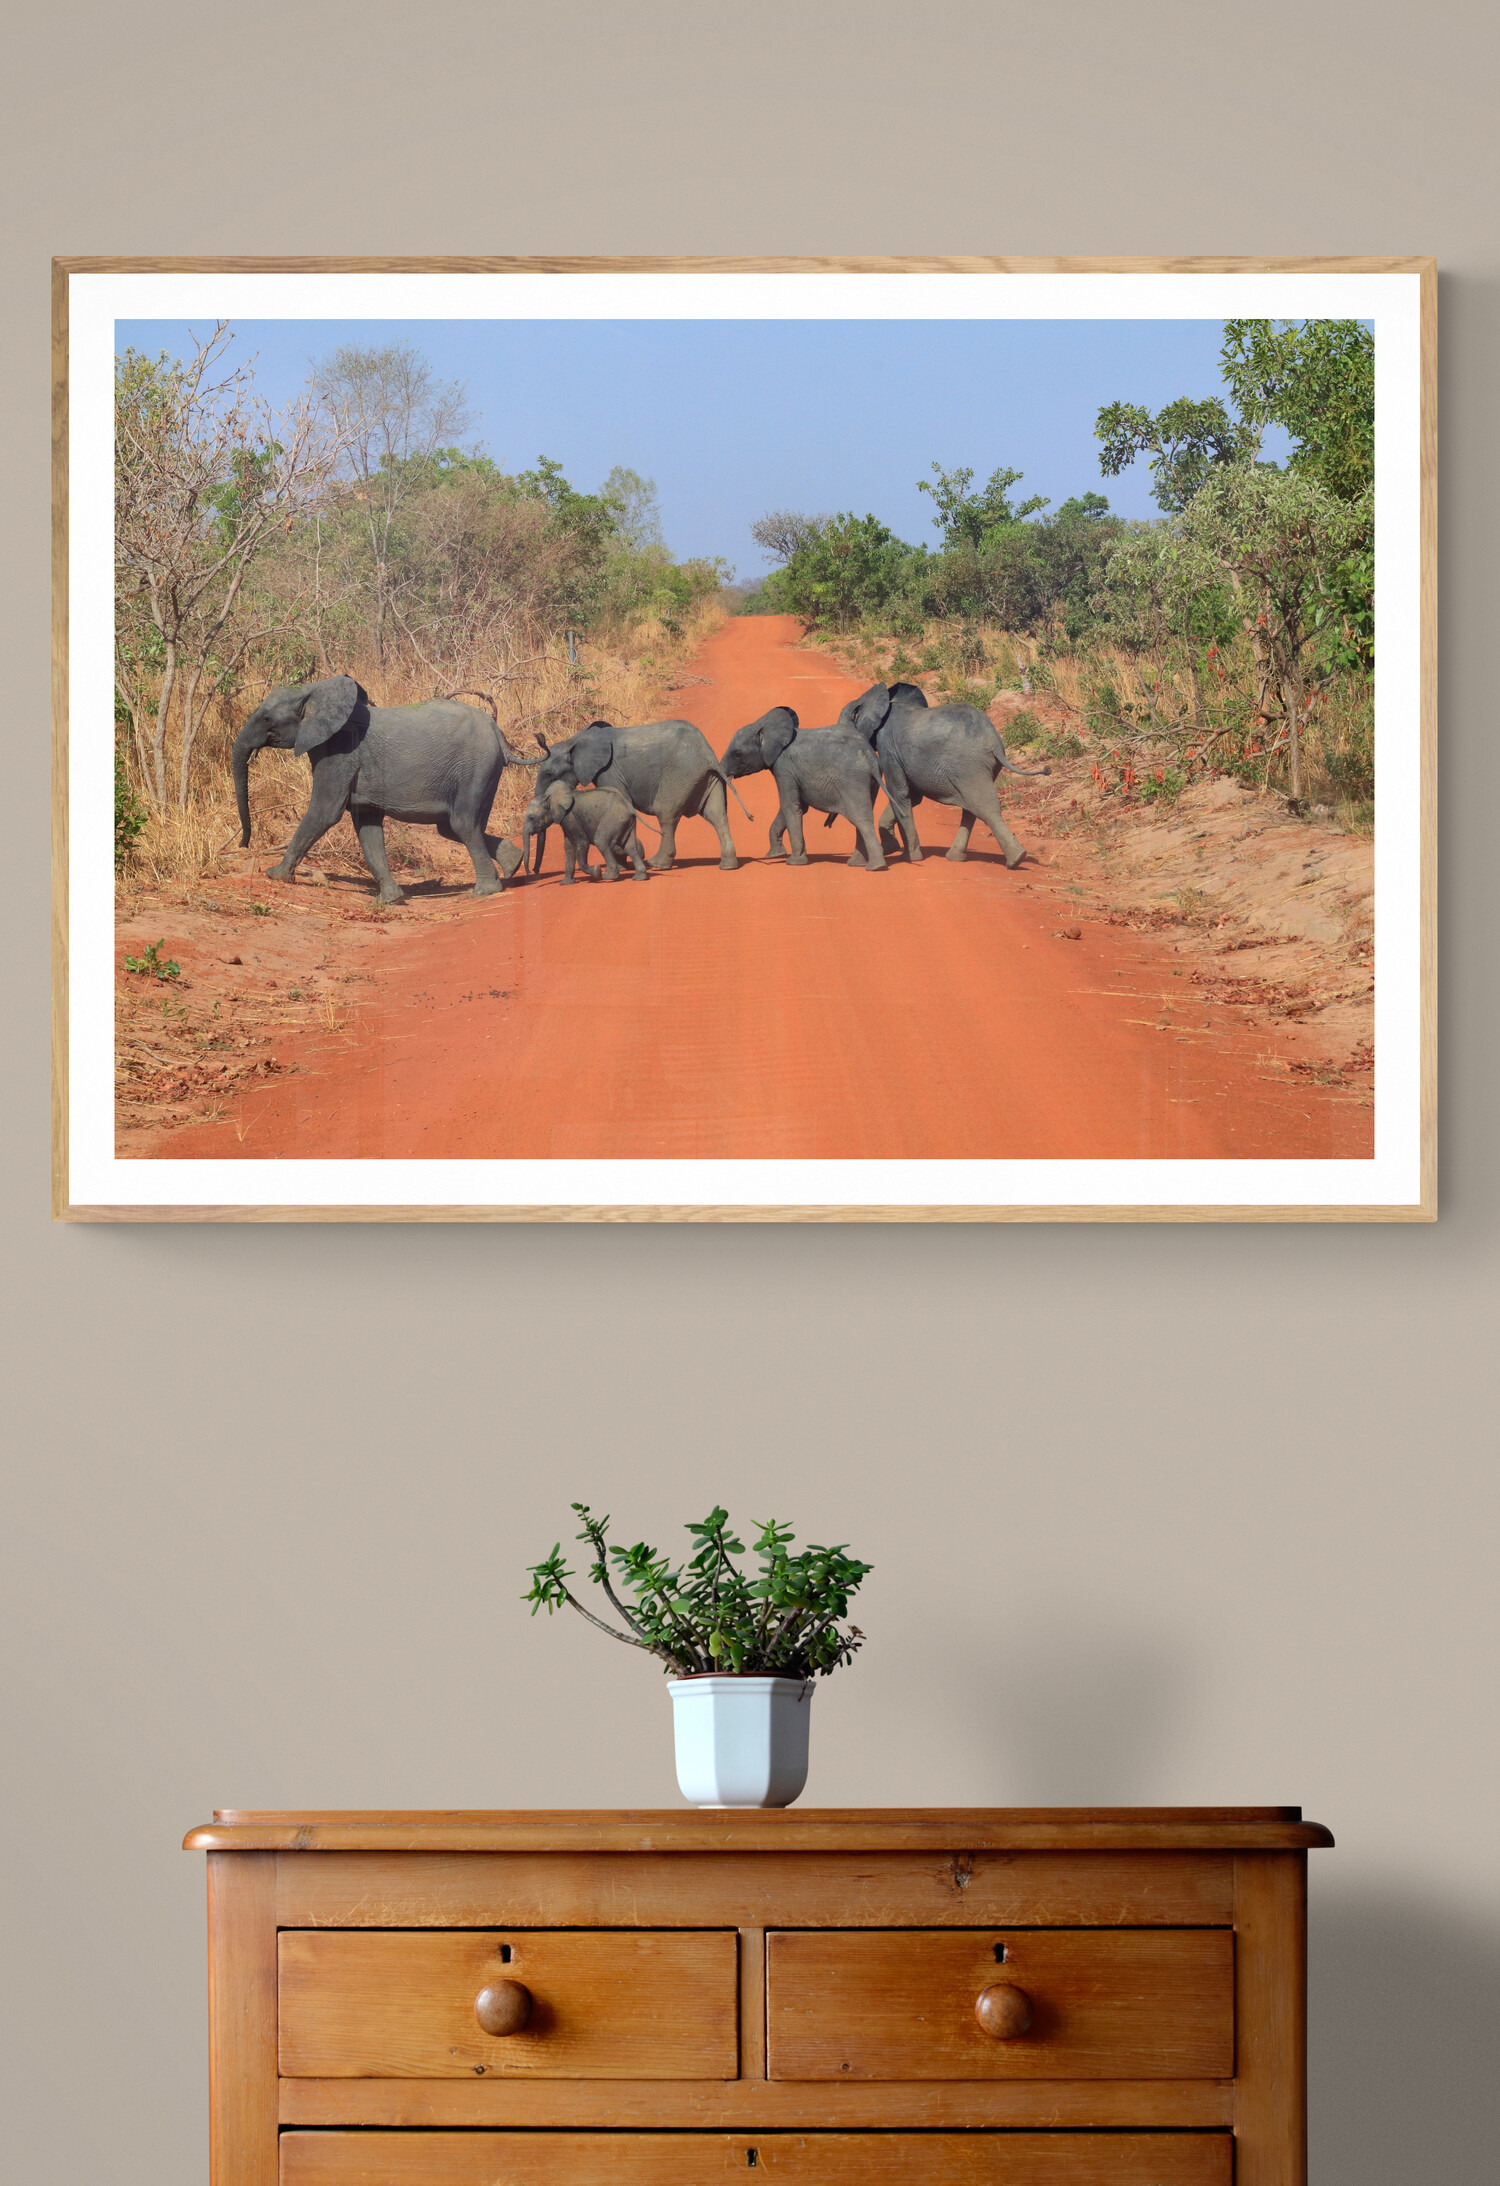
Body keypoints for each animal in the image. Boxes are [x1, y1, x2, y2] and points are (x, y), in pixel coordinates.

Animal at [231, 674, 539, 904]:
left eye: (267, 719)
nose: (243, 845)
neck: (314, 691)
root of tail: (499, 734)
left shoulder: (339, 752)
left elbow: (325, 812)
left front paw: (275, 875)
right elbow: (367, 826)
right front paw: (390, 900)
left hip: (475, 766)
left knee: (461, 823)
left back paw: (485, 891)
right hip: (484, 771)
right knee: (453, 827)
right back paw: (513, 864)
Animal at [533, 718, 741, 872]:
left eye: (549, 774)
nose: (535, 871)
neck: (575, 740)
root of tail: (707, 752)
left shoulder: (609, 771)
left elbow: (620, 802)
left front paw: (626, 861)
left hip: (680, 773)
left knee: (666, 813)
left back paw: (657, 864)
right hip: (707, 777)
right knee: (716, 814)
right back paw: (728, 866)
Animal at [720, 706, 886, 870]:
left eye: (737, 754)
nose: (751, 817)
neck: (763, 725)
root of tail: (869, 756)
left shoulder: (784, 767)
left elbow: (789, 806)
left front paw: (793, 862)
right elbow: (794, 807)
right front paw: (775, 855)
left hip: (852, 779)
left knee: (860, 818)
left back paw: (875, 867)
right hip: (871, 781)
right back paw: (857, 864)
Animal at [845, 681, 1050, 869]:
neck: (888, 701)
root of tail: (995, 742)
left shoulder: (888, 748)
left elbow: (900, 794)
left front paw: (910, 857)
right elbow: (912, 796)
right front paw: (891, 849)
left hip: (968, 764)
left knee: (983, 806)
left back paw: (1016, 859)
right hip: (981, 766)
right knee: (972, 807)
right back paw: (959, 857)